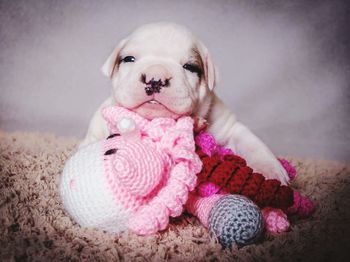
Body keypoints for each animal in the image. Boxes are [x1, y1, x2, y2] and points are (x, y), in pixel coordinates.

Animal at [82, 23, 290, 186]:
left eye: (190, 67)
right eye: (129, 59)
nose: (155, 78)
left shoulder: (228, 126)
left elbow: (252, 143)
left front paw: (271, 171)